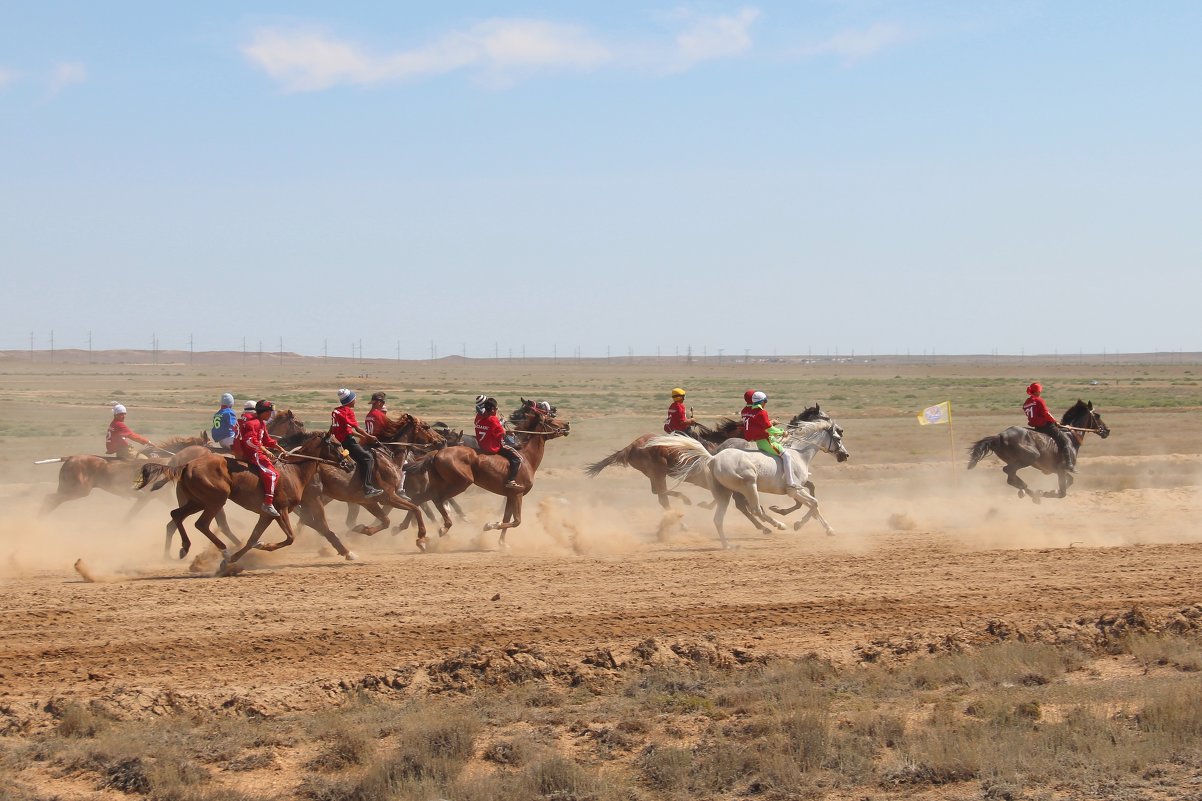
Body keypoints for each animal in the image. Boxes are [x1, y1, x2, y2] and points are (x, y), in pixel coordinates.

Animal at [649, 420, 846, 546]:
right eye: (837, 438)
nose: (845, 455)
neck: (799, 454)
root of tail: (713, 458)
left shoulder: (798, 491)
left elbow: (814, 507)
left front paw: (829, 530)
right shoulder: (794, 490)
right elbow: (814, 504)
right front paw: (797, 524)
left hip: (725, 493)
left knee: (721, 517)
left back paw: (728, 544)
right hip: (749, 485)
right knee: (755, 509)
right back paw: (777, 526)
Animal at [966, 396, 1105, 502]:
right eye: (1097, 416)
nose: (1107, 430)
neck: (1070, 435)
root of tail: (1000, 436)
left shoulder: (1055, 469)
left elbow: (1070, 481)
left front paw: (1049, 491)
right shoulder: (1061, 469)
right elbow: (1062, 492)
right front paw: (1047, 493)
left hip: (1015, 460)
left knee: (1010, 477)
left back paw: (1026, 491)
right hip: (1030, 457)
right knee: (1008, 472)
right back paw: (1030, 491)